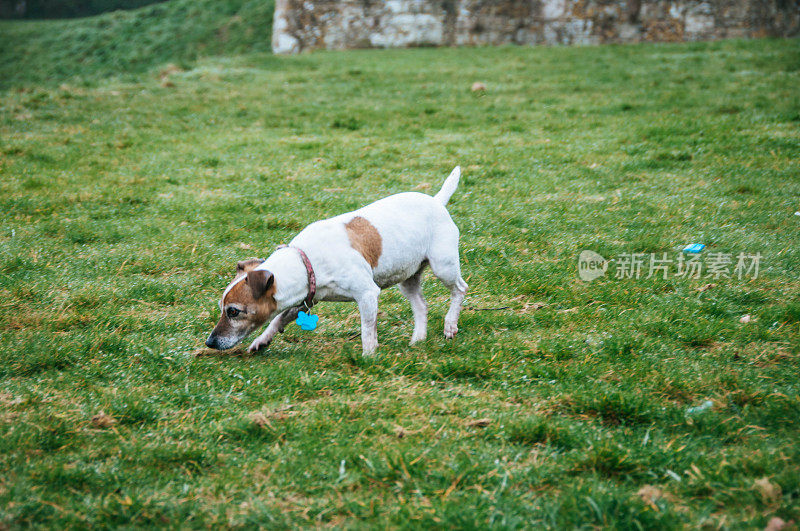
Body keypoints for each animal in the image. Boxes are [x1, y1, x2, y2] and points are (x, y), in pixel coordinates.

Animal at [205, 166, 468, 358]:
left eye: (233, 311)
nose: (210, 341)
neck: (308, 260)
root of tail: (437, 201)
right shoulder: (306, 300)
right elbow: (279, 318)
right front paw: (263, 340)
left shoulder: (367, 295)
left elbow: (367, 330)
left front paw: (368, 356)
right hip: (407, 277)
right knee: (421, 305)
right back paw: (418, 339)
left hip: (443, 266)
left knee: (460, 289)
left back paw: (450, 325)